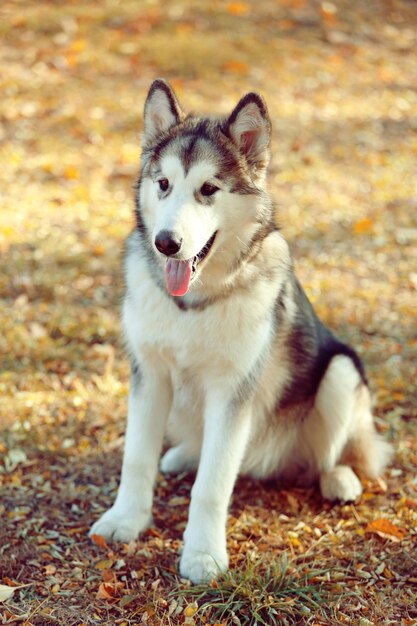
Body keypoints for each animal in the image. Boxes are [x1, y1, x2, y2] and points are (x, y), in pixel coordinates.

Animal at [89, 78, 392, 580]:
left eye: (208, 189)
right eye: (163, 184)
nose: (166, 243)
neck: (192, 303)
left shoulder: (233, 391)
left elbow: (211, 487)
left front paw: (203, 554)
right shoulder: (149, 374)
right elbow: (136, 459)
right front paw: (126, 519)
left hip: (341, 373)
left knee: (338, 453)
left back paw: (339, 478)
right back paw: (182, 454)